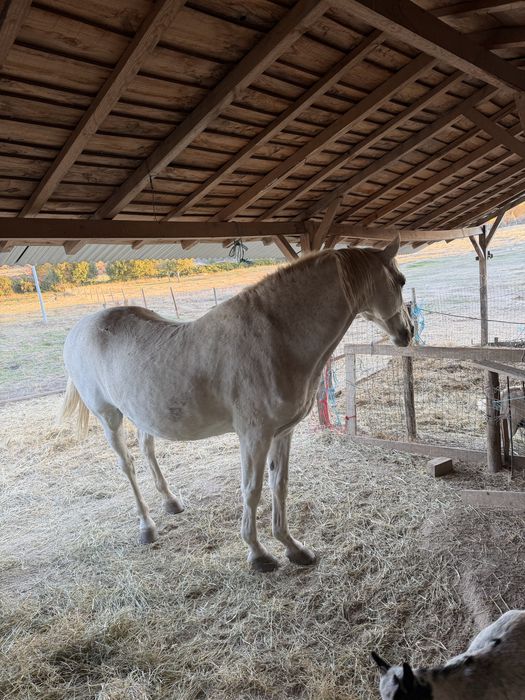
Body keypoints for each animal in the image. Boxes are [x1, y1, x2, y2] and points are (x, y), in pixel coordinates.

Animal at [60, 236, 413, 571]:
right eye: (401, 280)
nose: (407, 332)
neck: (275, 337)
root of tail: (80, 328)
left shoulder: (282, 433)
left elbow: (279, 485)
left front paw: (293, 547)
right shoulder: (254, 436)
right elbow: (252, 490)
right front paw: (258, 554)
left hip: (144, 414)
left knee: (147, 449)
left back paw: (171, 502)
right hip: (109, 417)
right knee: (128, 465)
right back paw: (146, 527)